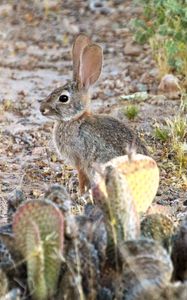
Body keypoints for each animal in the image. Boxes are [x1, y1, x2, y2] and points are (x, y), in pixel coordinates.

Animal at [40, 32, 148, 192]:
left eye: (63, 98)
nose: (42, 109)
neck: (75, 119)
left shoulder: (79, 159)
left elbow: (81, 176)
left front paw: (79, 192)